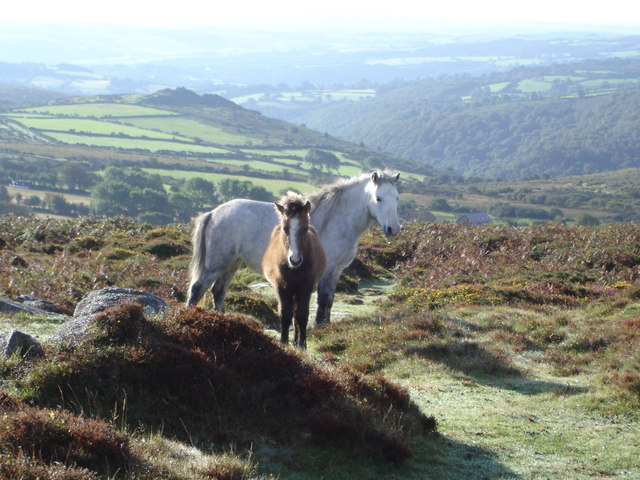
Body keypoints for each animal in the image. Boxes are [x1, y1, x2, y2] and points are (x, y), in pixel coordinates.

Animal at [185, 171, 400, 324]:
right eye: (378, 198)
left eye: (397, 197)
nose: (394, 229)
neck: (334, 219)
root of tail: (213, 213)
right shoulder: (326, 270)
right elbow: (322, 299)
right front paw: (319, 326)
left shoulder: (336, 271)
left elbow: (329, 299)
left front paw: (327, 325)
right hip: (217, 263)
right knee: (198, 288)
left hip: (232, 263)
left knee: (218, 291)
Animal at [262, 193, 328, 346]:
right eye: (285, 228)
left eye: (304, 228)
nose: (295, 260)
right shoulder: (281, 287)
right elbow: (285, 314)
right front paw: (284, 342)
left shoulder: (305, 287)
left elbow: (302, 315)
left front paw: (302, 344)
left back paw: (297, 340)